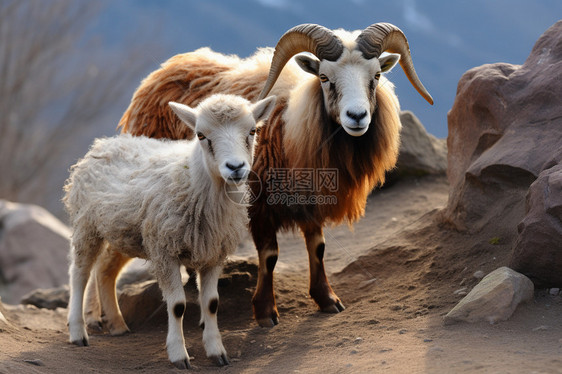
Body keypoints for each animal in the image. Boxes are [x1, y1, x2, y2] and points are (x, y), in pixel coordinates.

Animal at [63, 93, 276, 368]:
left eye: (252, 131)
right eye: (200, 135)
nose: (235, 167)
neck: (196, 183)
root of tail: (103, 144)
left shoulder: (214, 253)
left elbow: (212, 303)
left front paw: (217, 351)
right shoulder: (165, 251)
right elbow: (177, 306)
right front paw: (178, 355)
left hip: (122, 232)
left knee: (104, 270)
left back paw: (117, 324)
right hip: (86, 225)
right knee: (79, 274)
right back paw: (78, 332)